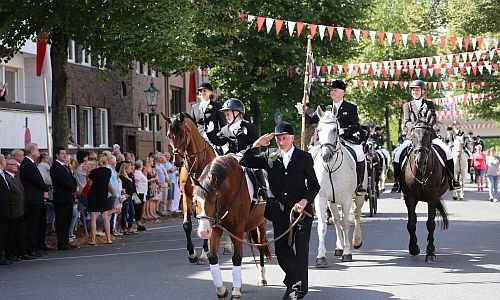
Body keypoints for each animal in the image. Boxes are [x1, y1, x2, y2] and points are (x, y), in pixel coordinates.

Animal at [161, 112, 214, 262]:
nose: (177, 162)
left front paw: (205, 252)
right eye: (168, 135)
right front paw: (192, 253)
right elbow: (187, 224)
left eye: (182, 133)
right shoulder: (186, 196)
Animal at [193, 156, 272, 298]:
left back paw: (262, 278)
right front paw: (222, 290)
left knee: (261, 246)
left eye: (212, 200)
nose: (203, 232)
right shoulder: (216, 227)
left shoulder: (237, 227)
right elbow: (213, 256)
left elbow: (237, 257)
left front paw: (235, 291)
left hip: (260, 224)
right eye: (195, 201)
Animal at [310, 108, 366, 264]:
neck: (330, 167)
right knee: (335, 220)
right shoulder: (321, 198)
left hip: (359, 196)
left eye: (335, 129)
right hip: (332, 201)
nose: (326, 156)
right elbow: (323, 226)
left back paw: (356, 241)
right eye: (319, 129)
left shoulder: (346, 198)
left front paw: (347, 253)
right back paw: (339, 247)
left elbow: (346, 224)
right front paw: (321, 256)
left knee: (356, 215)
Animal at [402, 122, 450, 262]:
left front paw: (430, 252)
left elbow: (430, 224)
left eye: (428, 136)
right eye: (413, 136)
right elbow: (411, 224)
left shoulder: (432, 197)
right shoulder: (410, 198)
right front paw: (414, 248)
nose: (421, 160)